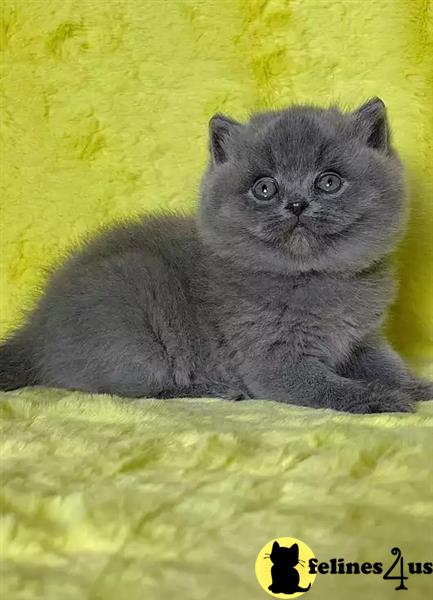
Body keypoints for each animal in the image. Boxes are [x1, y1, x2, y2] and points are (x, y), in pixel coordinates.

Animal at [0, 99, 432, 412]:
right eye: (264, 188)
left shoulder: (362, 340)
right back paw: (211, 388)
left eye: (329, 181)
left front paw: (416, 387)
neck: (312, 277)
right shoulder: (271, 358)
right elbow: (325, 386)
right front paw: (378, 398)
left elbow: (389, 366)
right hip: (130, 319)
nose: (296, 204)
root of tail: (35, 330)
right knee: (127, 388)